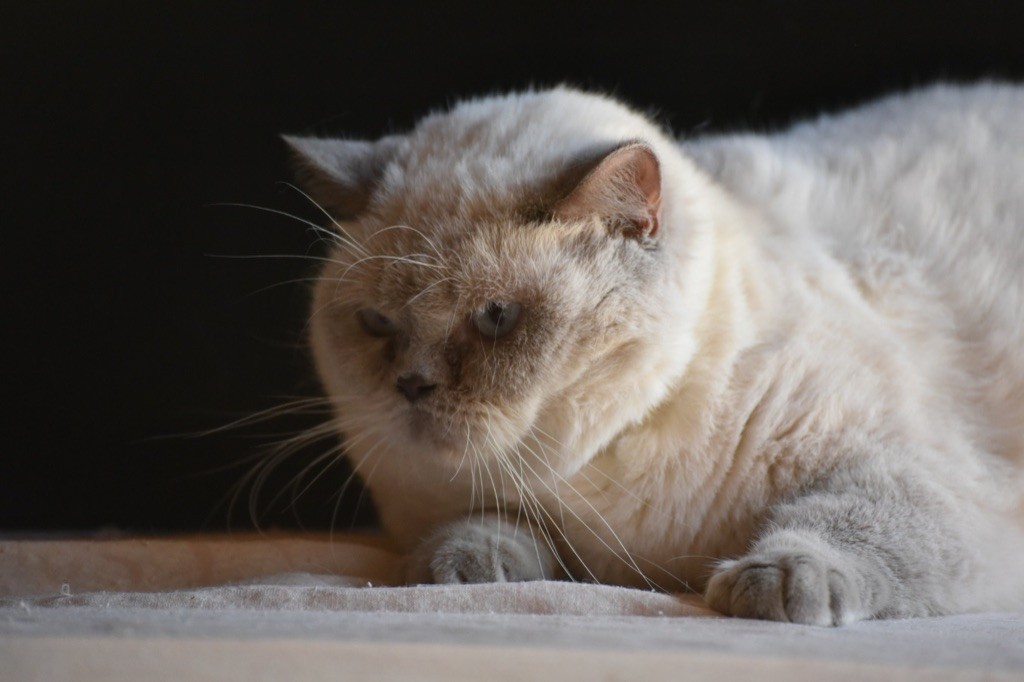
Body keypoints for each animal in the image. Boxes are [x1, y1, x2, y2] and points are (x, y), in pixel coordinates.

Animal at [284, 82, 1024, 622]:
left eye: (496, 317)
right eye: (376, 323)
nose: (410, 384)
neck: (597, 478)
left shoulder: (906, 468)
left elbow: (845, 523)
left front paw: (774, 583)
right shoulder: (473, 504)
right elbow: (485, 526)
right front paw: (455, 569)